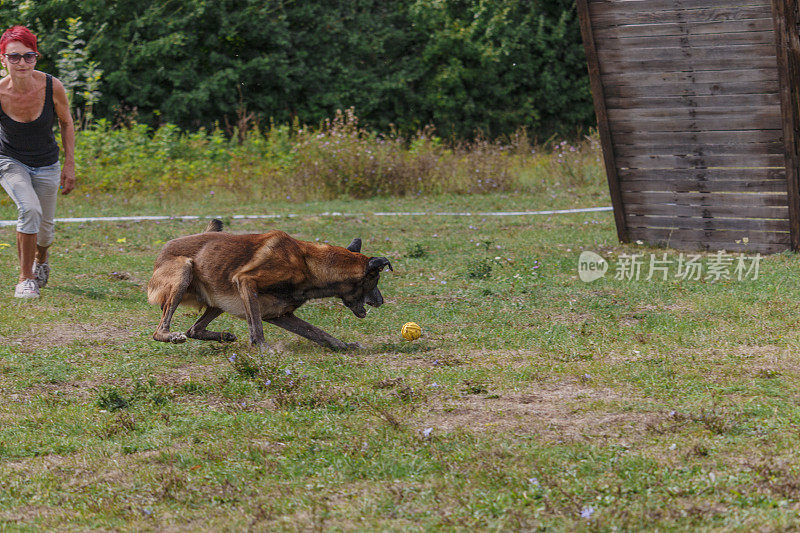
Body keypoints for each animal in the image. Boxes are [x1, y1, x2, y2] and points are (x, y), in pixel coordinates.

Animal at [148, 219, 394, 350]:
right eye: (376, 279)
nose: (382, 301)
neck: (310, 264)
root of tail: (161, 252)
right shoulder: (246, 282)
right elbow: (256, 328)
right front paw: (264, 350)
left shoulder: (279, 314)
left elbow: (321, 334)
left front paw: (345, 346)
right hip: (185, 271)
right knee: (160, 331)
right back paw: (171, 336)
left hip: (219, 300)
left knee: (194, 330)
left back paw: (223, 336)